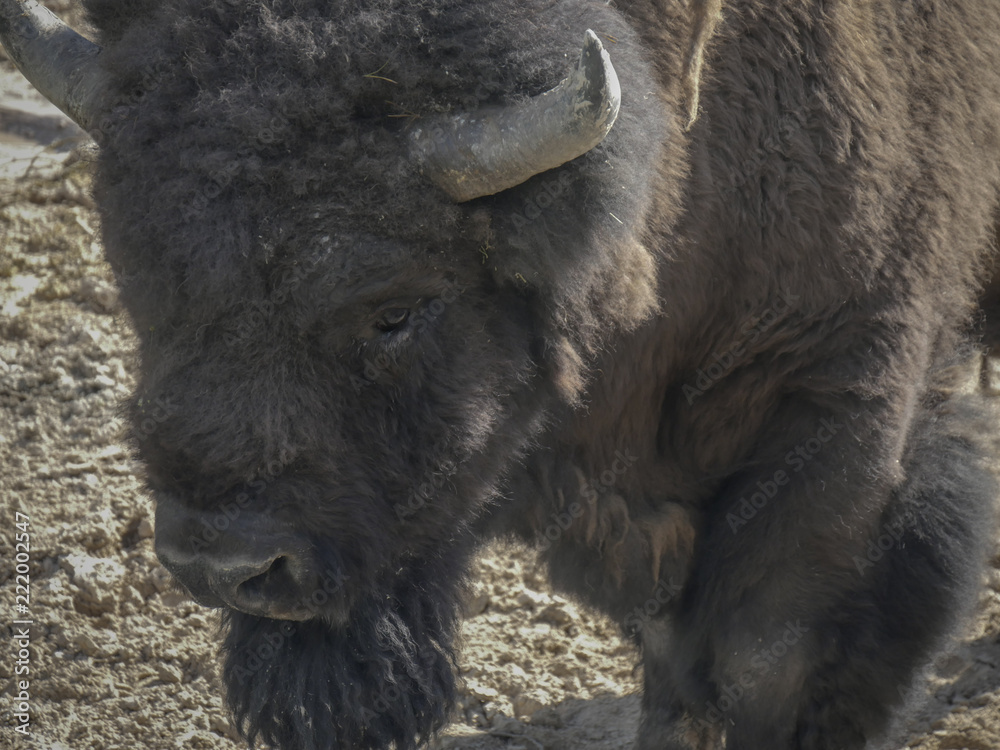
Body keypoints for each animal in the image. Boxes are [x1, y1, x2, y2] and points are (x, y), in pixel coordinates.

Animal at [3, 0, 1000, 748]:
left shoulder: (845, 397)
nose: (225, 564)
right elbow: (673, 659)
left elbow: (767, 656)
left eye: (396, 309)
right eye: (137, 275)